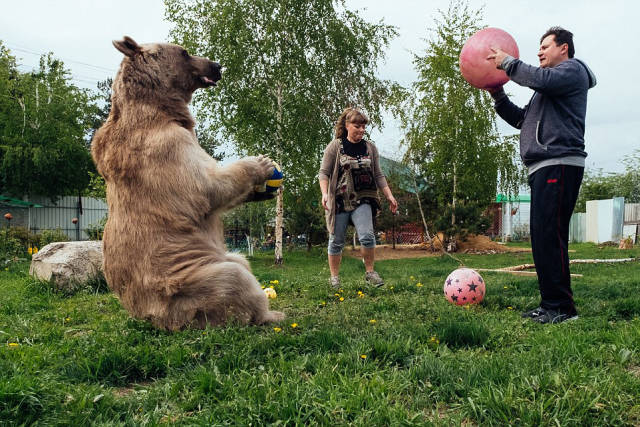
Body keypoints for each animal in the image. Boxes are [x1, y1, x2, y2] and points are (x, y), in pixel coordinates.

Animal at [90, 36, 284, 332]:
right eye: (185, 52)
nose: (217, 65)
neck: (160, 109)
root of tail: (152, 318)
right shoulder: (166, 148)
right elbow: (205, 187)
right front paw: (259, 163)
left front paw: (261, 192)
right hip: (187, 285)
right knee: (234, 279)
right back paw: (269, 313)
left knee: (240, 259)